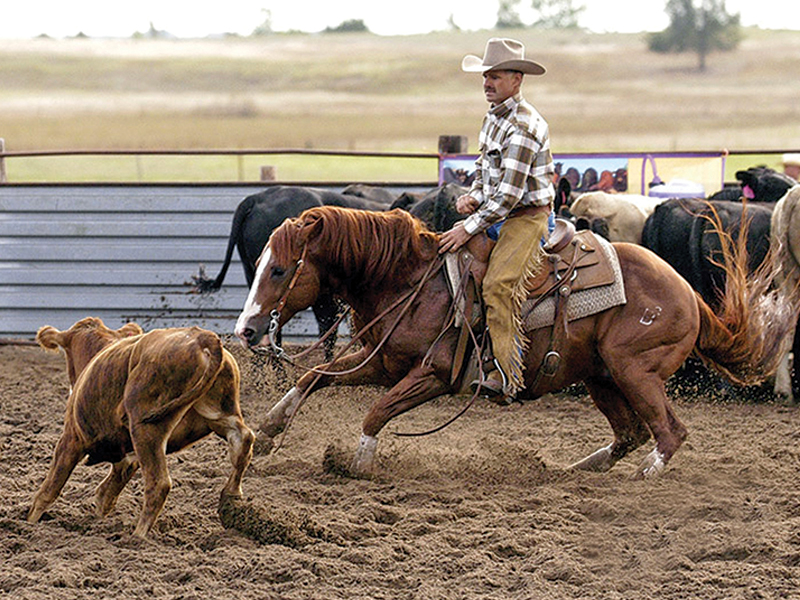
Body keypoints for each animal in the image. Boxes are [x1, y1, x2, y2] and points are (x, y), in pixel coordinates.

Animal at [29, 317, 254, 538]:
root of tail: (202, 338)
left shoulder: (71, 439)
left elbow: (49, 489)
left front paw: (30, 521)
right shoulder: (127, 459)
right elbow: (105, 494)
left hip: (147, 428)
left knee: (159, 483)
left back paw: (137, 537)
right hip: (220, 413)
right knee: (243, 440)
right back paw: (231, 497)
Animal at [234, 206, 796, 480]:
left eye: (280, 269)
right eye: (259, 263)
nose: (245, 330)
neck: (408, 280)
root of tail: (688, 293)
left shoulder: (434, 375)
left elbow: (377, 412)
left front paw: (360, 464)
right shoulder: (386, 362)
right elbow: (315, 376)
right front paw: (270, 427)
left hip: (633, 370)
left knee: (668, 432)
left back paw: (645, 475)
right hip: (601, 376)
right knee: (631, 432)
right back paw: (580, 468)